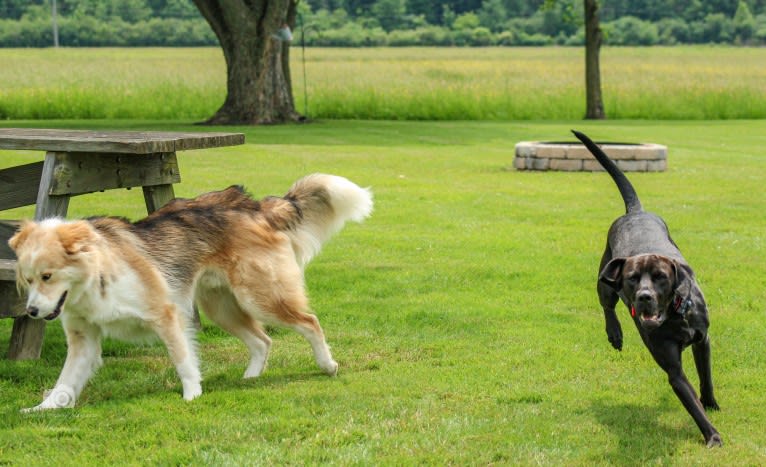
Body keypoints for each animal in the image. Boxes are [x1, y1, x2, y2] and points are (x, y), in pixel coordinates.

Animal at [9, 174, 374, 412]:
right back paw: (250, 378)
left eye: (47, 276)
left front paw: (192, 395)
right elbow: (66, 381)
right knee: (262, 340)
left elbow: (183, 360)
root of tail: (255, 207)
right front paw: (44, 408)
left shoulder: (167, 316)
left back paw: (327, 364)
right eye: (28, 280)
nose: (32, 312)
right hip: (221, 307)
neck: (98, 273)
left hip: (262, 297)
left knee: (310, 322)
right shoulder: (83, 339)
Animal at [576, 130, 728, 448]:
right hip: (605, 280)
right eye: (632, 278)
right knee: (607, 305)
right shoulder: (673, 368)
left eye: (660, 277)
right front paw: (712, 435)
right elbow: (691, 401)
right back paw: (615, 333)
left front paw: (711, 404)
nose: (644, 298)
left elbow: (706, 378)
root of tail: (635, 212)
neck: (675, 314)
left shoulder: (703, 340)